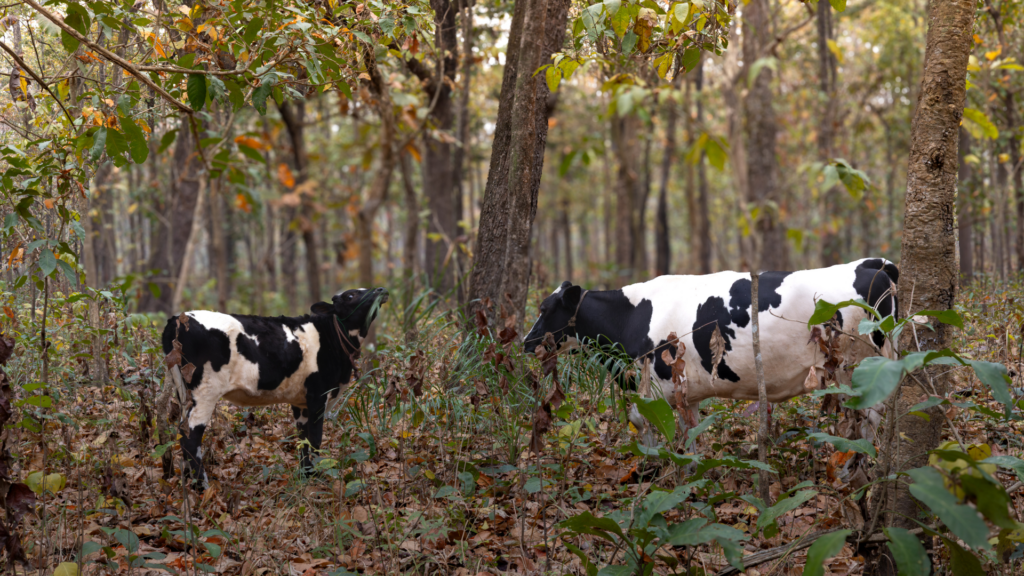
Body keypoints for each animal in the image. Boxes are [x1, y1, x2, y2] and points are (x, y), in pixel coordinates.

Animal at [161, 287, 388, 489]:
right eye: (350, 295)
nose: (381, 290)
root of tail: (178, 318)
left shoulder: (301, 402)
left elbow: (303, 440)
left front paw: (306, 476)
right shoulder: (318, 395)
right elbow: (315, 439)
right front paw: (316, 478)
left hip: (183, 391)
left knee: (182, 431)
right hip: (205, 391)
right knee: (191, 437)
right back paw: (202, 487)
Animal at [524, 258, 898, 446]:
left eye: (544, 308)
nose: (526, 342)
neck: (630, 318)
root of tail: (872, 265)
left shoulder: (656, 386)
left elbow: (646, 426)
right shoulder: (687, 391)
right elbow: (690, 432)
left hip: (858, 367)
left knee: (871, 416)